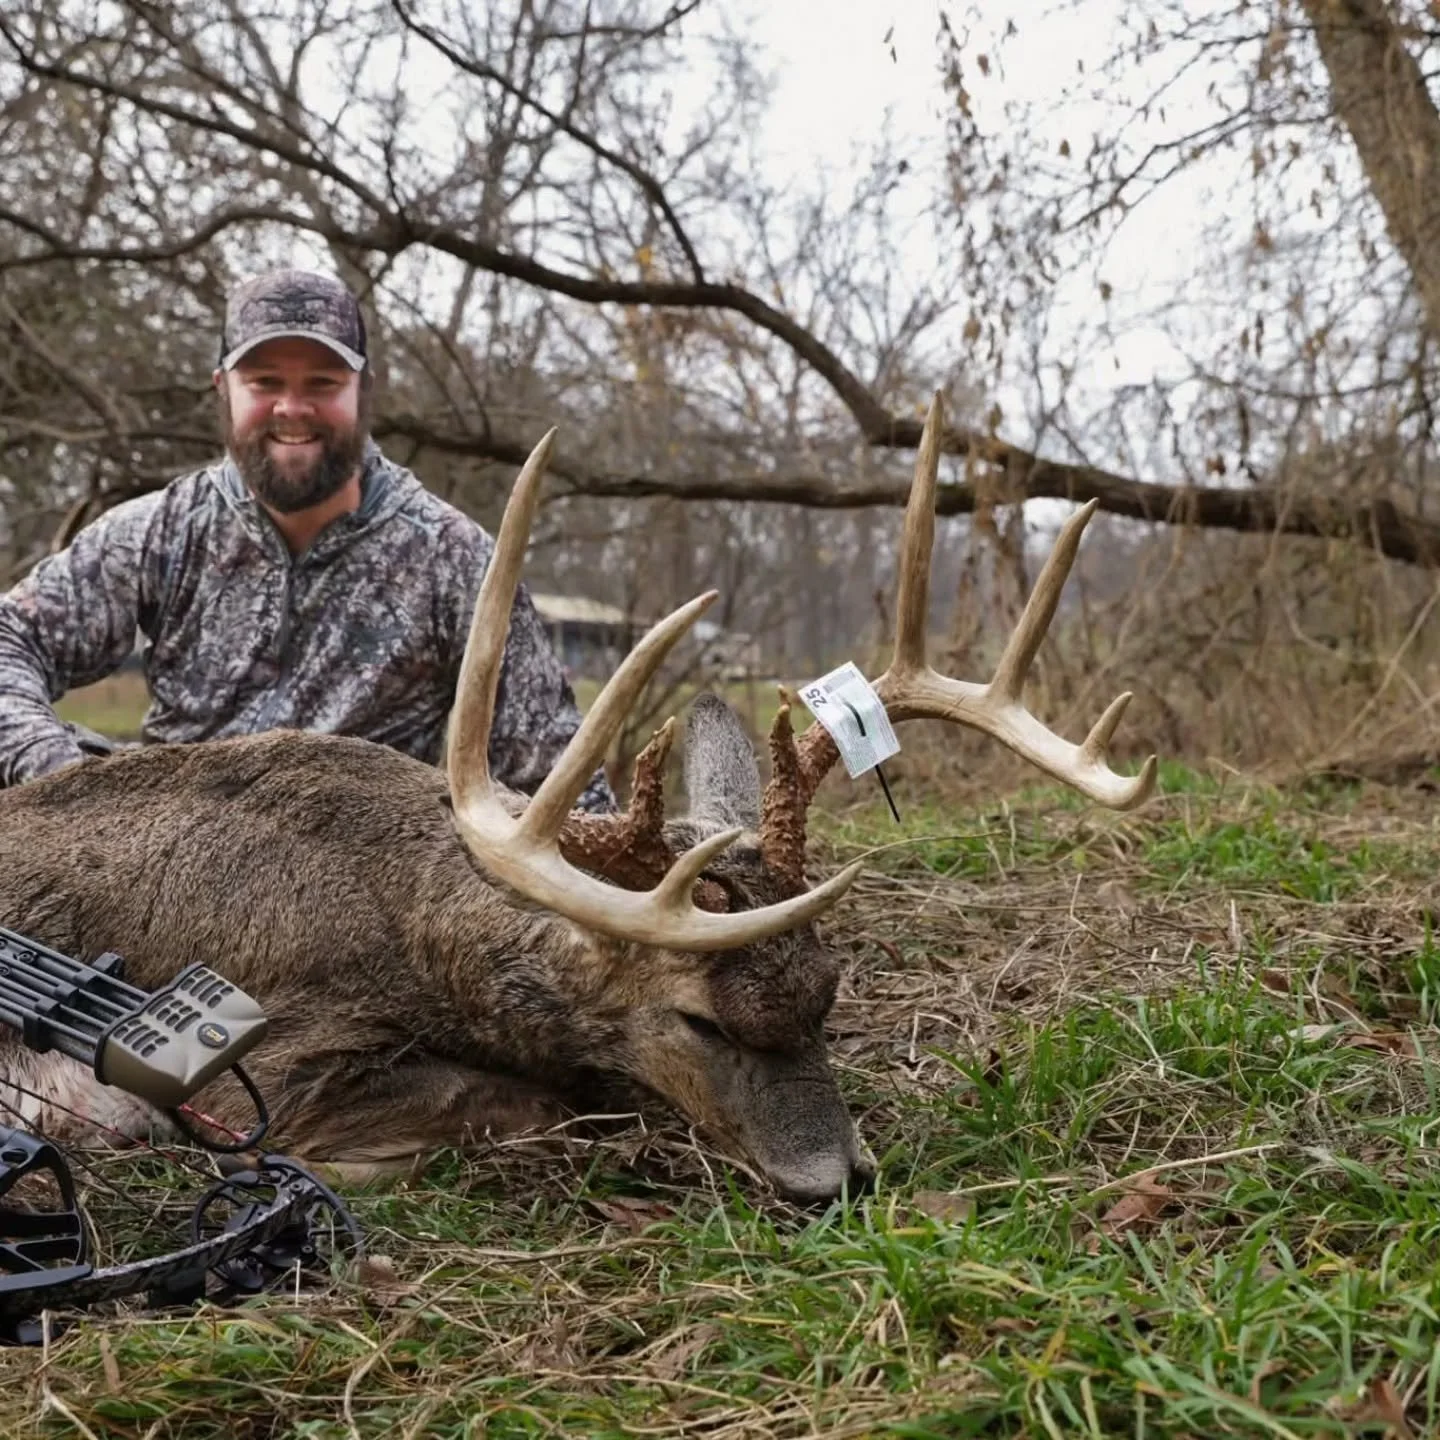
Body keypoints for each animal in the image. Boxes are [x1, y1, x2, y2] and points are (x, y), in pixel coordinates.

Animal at [0, 395, 1156, 1202]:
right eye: (701, 1023)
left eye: (830, 997)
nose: (836, 1182)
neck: (416, 919)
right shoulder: (268, 1059)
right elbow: (525, 1103)